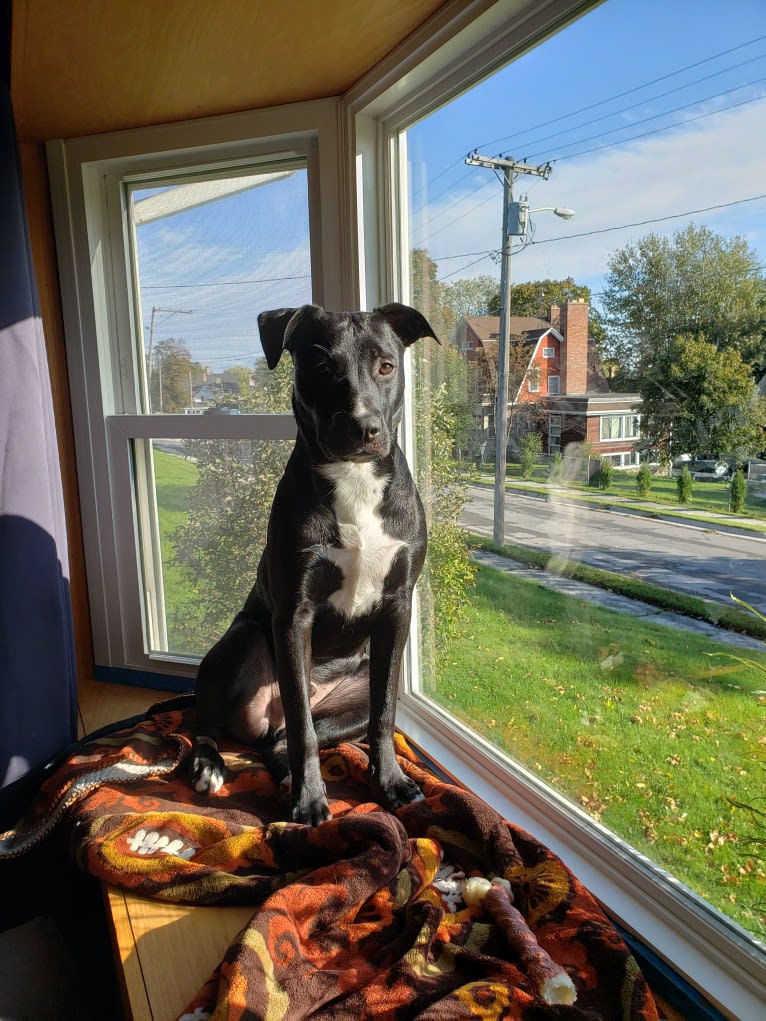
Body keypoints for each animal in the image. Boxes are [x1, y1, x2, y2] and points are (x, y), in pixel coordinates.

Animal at [190, 300, 437, 820]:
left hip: (350, 699)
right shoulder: (294, 613)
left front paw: (389, 781)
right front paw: (308, 800)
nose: (365, 428)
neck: (355, 480)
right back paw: (211, 765)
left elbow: (384, 714)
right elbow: (302, 727)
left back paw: (283, 770)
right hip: (243, 642)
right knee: (222, 725)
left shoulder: (397, 605)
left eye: (386, 366)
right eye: (323, 367)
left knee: (280, 741)